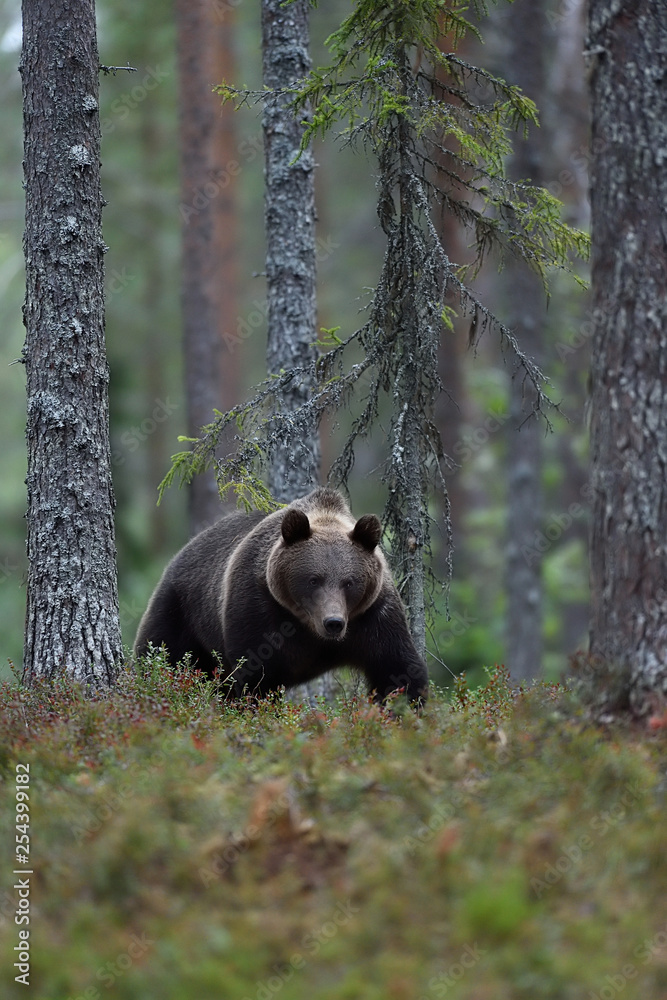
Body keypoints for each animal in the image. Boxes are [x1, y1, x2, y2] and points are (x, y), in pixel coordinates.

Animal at [134, 487, 428, 706]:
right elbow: (257, 677)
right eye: (313, 579)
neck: (309, 629)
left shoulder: (373, 615)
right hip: (181, 609)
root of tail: (182, 552)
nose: (333, 622)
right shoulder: (259, 606)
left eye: (349, 582)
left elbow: (397, 671)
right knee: (162, 655)